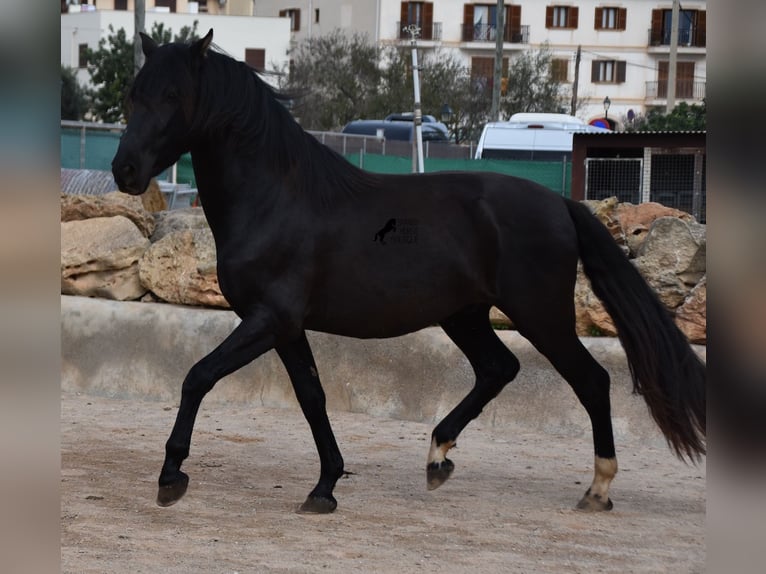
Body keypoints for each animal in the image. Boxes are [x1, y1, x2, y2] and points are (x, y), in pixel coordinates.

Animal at [111, 30, 704, 516]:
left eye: (172, 96)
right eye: (134, 94)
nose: (125, 170)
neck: (276, 198)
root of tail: (560, 203)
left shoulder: (267, 319)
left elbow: (198, 376)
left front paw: (171, 475)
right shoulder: (286, 327)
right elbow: (312, 397)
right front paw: (325, 486)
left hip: (540, 315)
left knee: (591, 380)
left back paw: (597, 490)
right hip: (465, 315)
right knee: (498, 368)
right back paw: (438, 455)